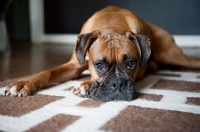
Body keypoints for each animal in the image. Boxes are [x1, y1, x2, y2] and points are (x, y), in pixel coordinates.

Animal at [3, 5, 200, 101]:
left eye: (131, 64)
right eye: (100, 65)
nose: (118, 84)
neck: (111, 25)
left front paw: (85, 84)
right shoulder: (74, 66)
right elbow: (47, 73)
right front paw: (22, 84)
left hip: (173, 56)